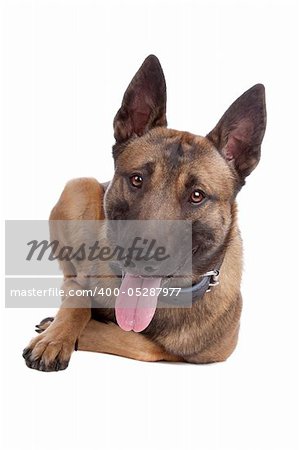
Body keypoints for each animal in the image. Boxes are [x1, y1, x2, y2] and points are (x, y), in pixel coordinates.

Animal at [22, 54, 268, 370]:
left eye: (197, 196)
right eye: (137, 179)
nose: (142, 257)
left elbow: (145, 345)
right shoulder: (81, 283)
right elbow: (76, 302)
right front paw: (55, 336)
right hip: (79, 187)